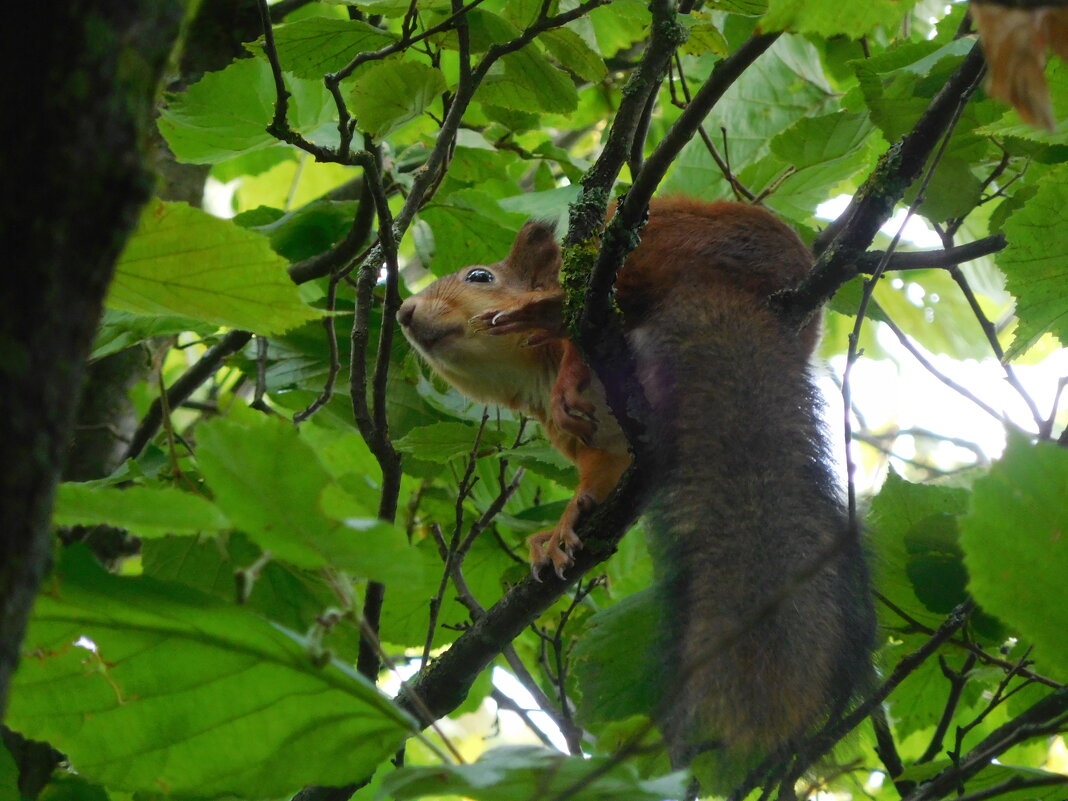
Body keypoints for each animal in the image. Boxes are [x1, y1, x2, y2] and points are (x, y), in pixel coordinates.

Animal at [397, 196, 871, 773]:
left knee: (602, 303)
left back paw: (548, 310)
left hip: (653, 239)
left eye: (480, 276)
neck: (528, 373)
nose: (404, 312)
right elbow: (594, 480)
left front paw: (563, 363)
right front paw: (559, 530)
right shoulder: (603, 448)